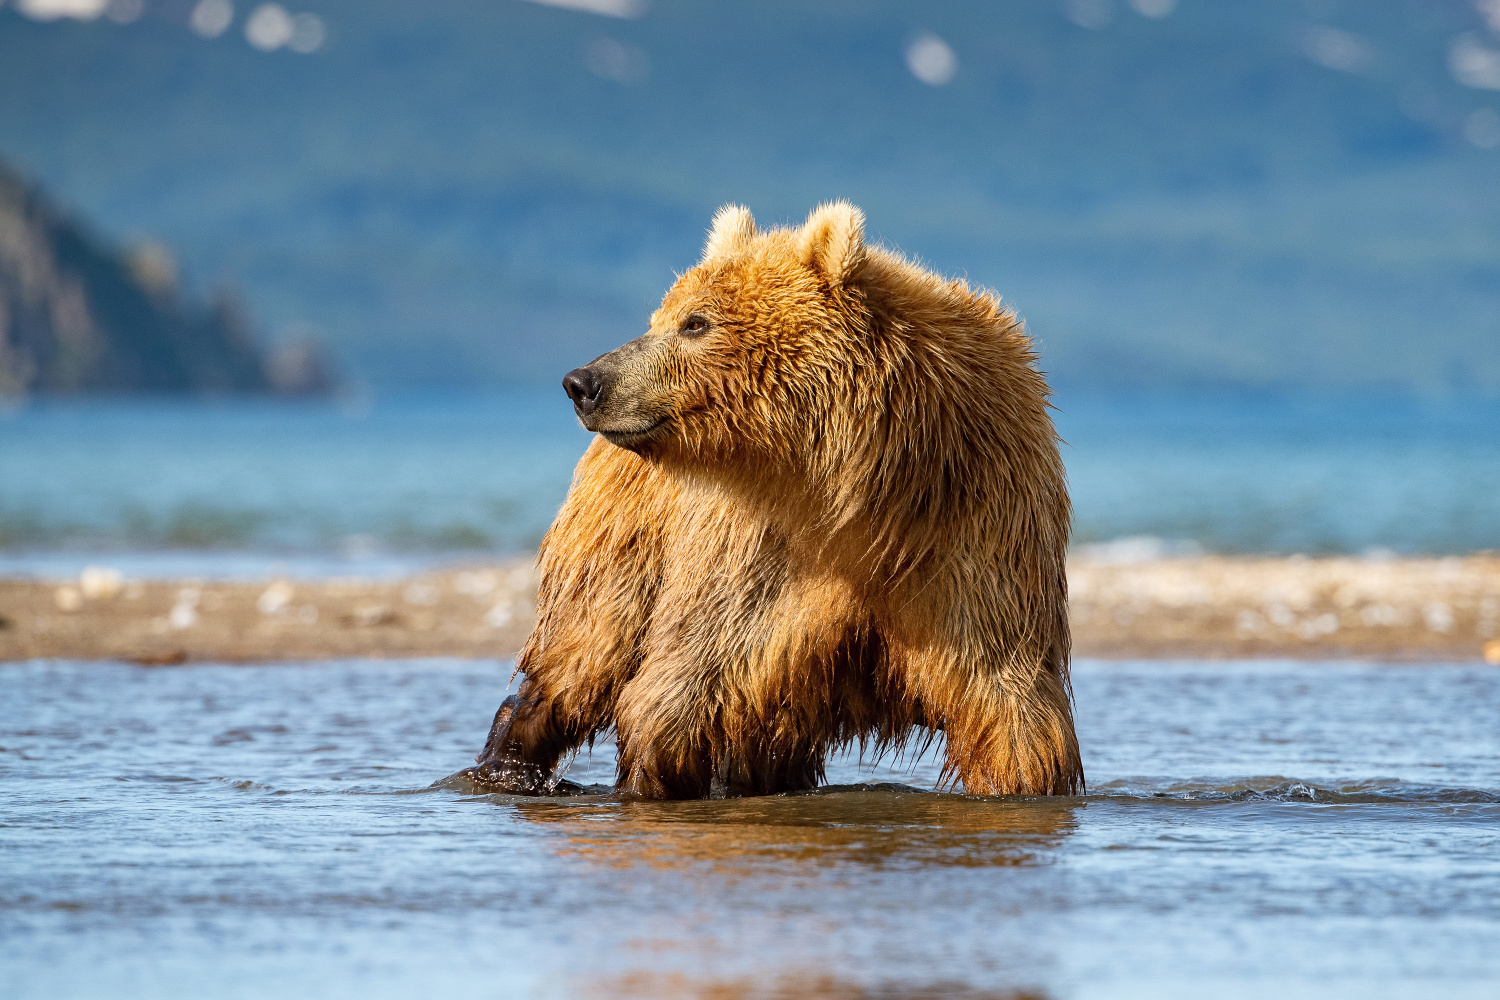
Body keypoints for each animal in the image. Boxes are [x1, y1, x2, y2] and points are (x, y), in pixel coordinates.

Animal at [465, 200, 1080, 797]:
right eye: (663, 316)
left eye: (695, 322)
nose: (584, 381)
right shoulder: (755, 551)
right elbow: (686, 683)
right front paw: (648, 779)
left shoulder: (973, 538)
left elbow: (1007, 709)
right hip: (626, 537)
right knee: (582, 656)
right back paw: (509, 763)